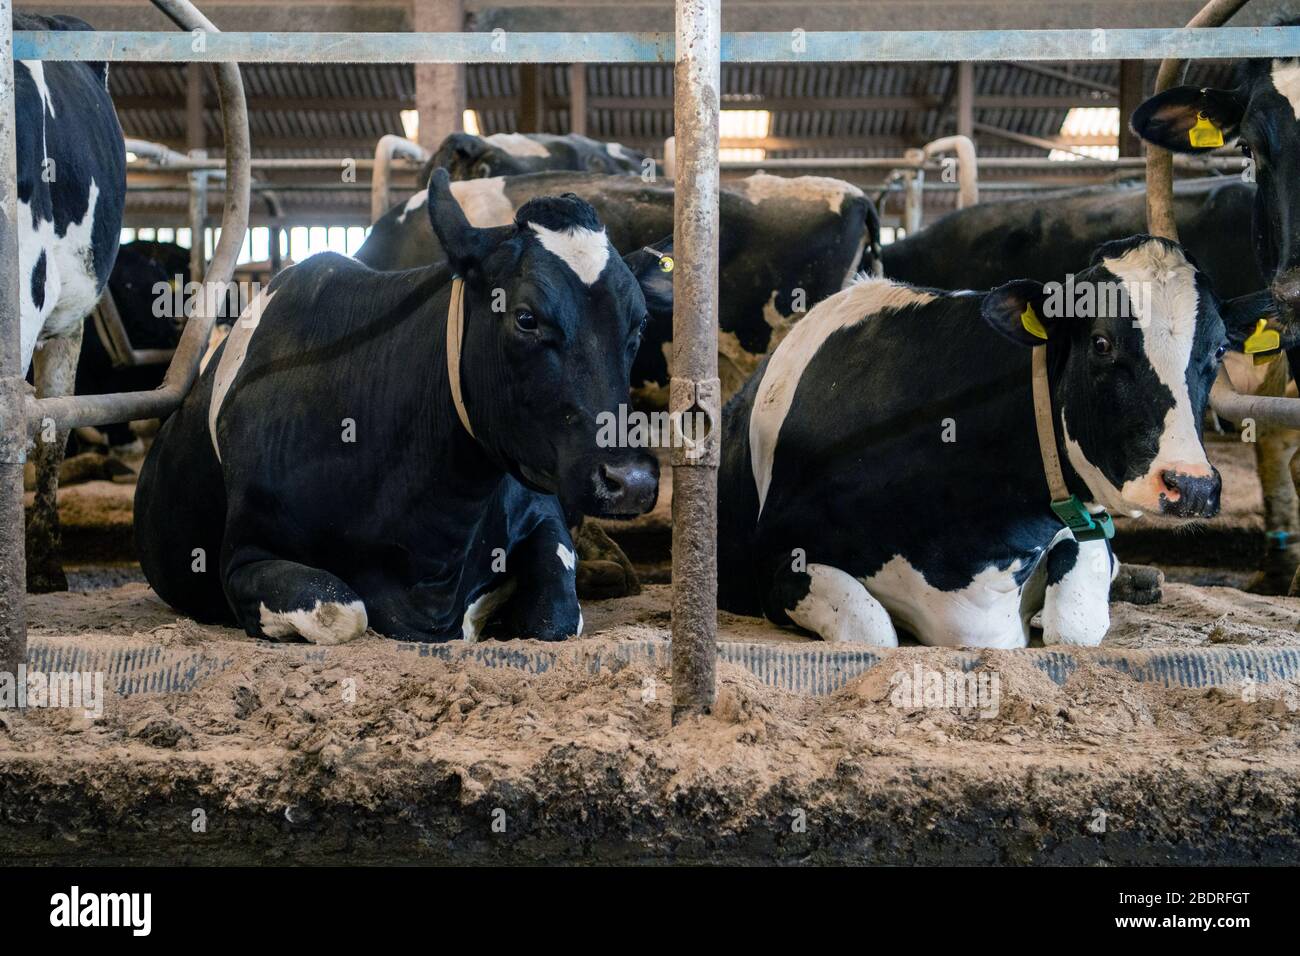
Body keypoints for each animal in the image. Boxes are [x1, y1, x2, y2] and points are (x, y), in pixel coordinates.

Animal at [134, 171, 660, 642]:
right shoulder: (245, 555)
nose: (631, 480)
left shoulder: (542, 512)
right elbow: (341, 610)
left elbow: (554, 615)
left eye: (639, 323)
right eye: (526, 318)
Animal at [722, 235, 1279, 647]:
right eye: (1101, 342)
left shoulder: (1083, 529)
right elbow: (873, 630)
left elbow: (1073, 626)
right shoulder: (776, 559)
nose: (1192, 486)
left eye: (1219, 349)